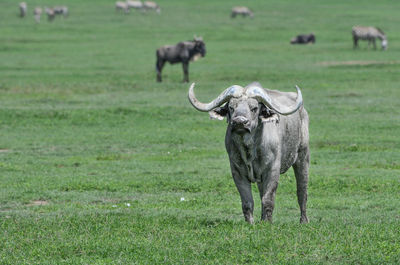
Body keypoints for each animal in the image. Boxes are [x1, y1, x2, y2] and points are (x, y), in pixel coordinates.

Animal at [188, 81, 310, 222]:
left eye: (254, 108)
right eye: (231, 107)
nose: (240, 122)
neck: (249, 150)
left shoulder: (272, 170)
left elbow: (268, 200)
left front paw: (267, 223)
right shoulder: (237, 172)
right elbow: (247, 202)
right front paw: (252, 223)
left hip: (303, 157)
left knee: (302, 191)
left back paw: (303, 221)